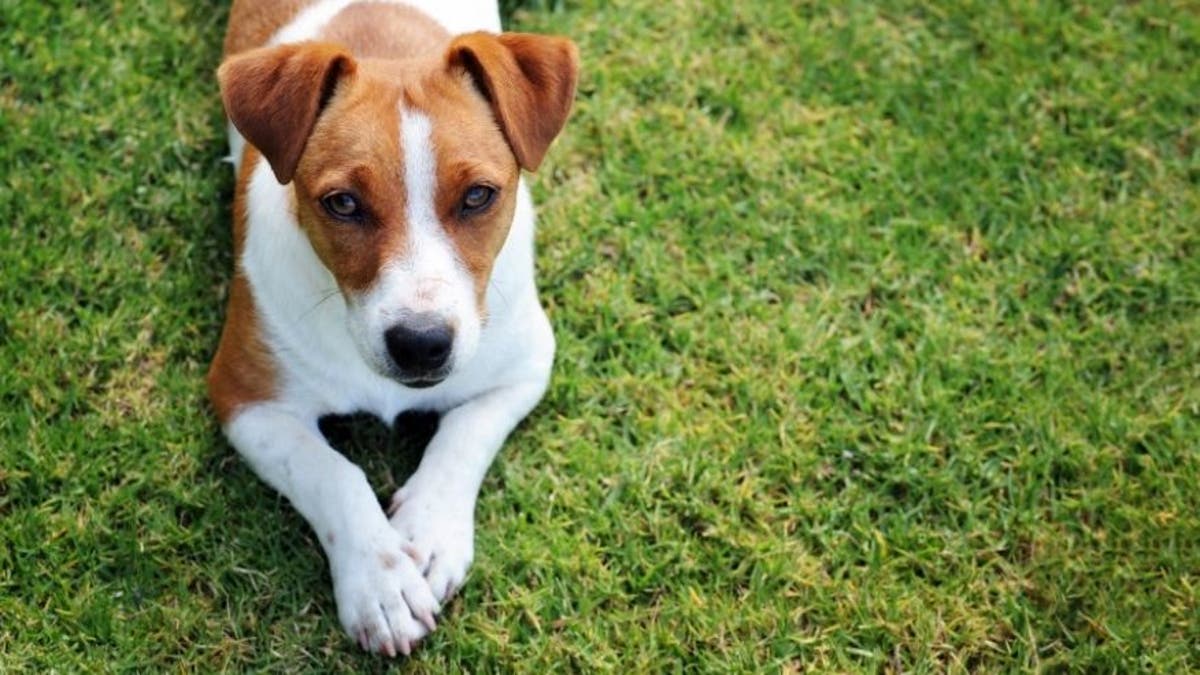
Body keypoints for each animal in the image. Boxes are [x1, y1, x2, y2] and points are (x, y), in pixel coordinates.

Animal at [204, 0, 578, 653]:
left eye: (478, 196)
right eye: (343, 203)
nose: (422, 346)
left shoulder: (525, 367)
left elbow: (463, 437)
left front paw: (428, 534)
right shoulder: (246, 399)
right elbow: (332, 473)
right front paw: (380, 582)